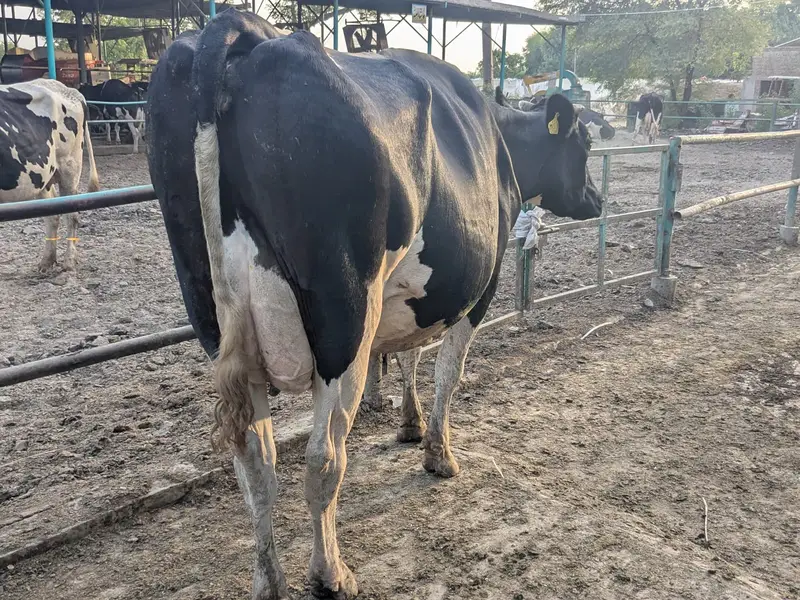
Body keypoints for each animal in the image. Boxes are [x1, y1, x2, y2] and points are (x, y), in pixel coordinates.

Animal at [0, 78, 100, 272]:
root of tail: (68, 89)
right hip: (42, 177)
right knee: (52, 214)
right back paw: (47, 260)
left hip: (69, 167)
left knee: (72, 216)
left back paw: (69, 260)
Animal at [147, 11, 601, 599]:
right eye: (585, 144)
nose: (598, 199)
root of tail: (236, 28)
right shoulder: (478, 288)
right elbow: (446, 371)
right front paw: (438, 452)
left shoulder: (408, 296)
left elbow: (408, 352)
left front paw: (408, 425)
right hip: (343, 320)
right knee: (322, 456)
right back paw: (331, 574)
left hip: (213, 316)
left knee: (254, 460)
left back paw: (269, 580)